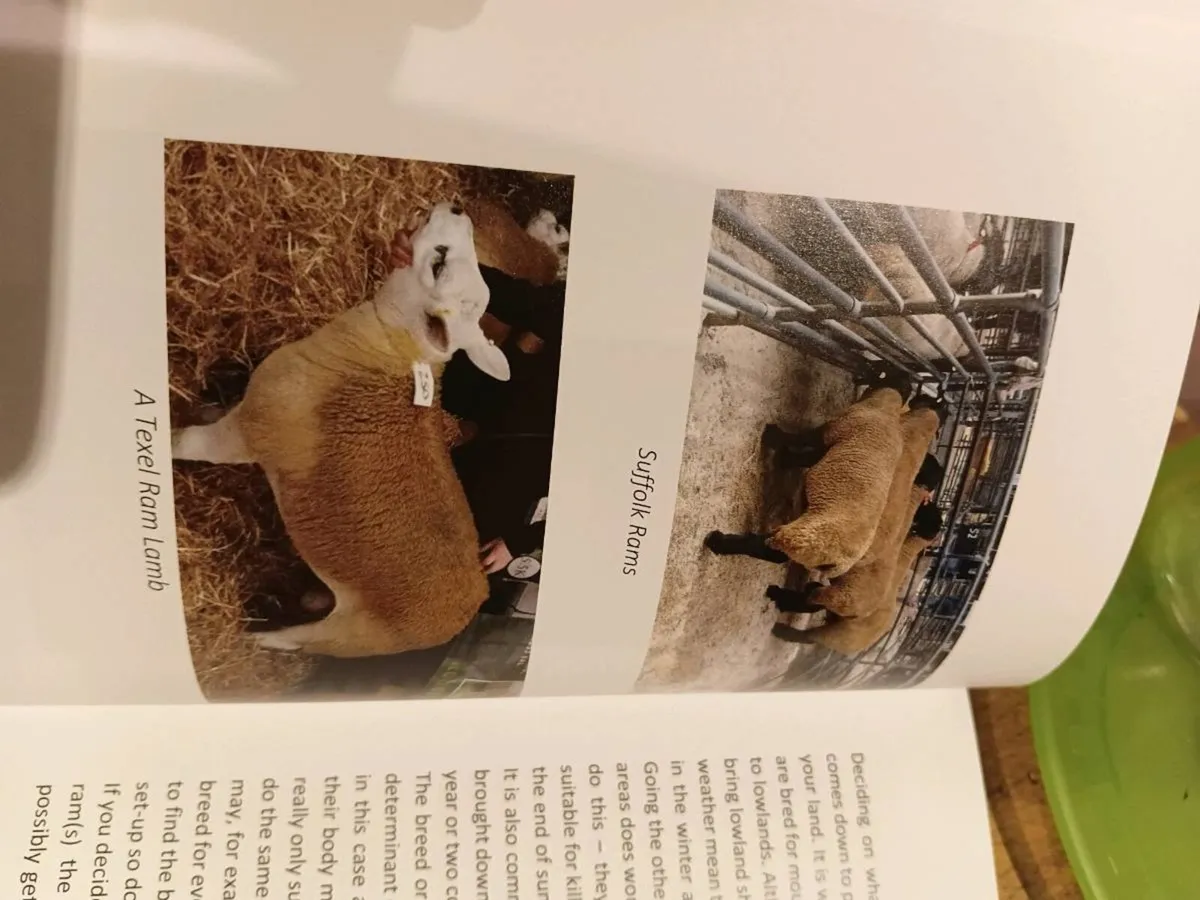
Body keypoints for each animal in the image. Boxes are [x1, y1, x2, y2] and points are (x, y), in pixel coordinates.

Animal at [171, 202, 511, 658]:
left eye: (437, 265)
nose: (457, 207)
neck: (378, 351)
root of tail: (472, 604)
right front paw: (204, 405)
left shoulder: (250, 430)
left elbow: (188, 441)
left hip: (353, 635)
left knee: (298, 643)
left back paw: (256, 637)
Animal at [704, 370, 912, 582]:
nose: (861, 378)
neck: (886, 408)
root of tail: (838, 564)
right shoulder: (831, 445)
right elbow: (808, 457)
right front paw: (784, 458)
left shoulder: (834, 430)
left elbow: (802, 440)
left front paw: (774, 438)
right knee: (776, 555)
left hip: (803, 539)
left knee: (767, 548)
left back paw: (718, 541)